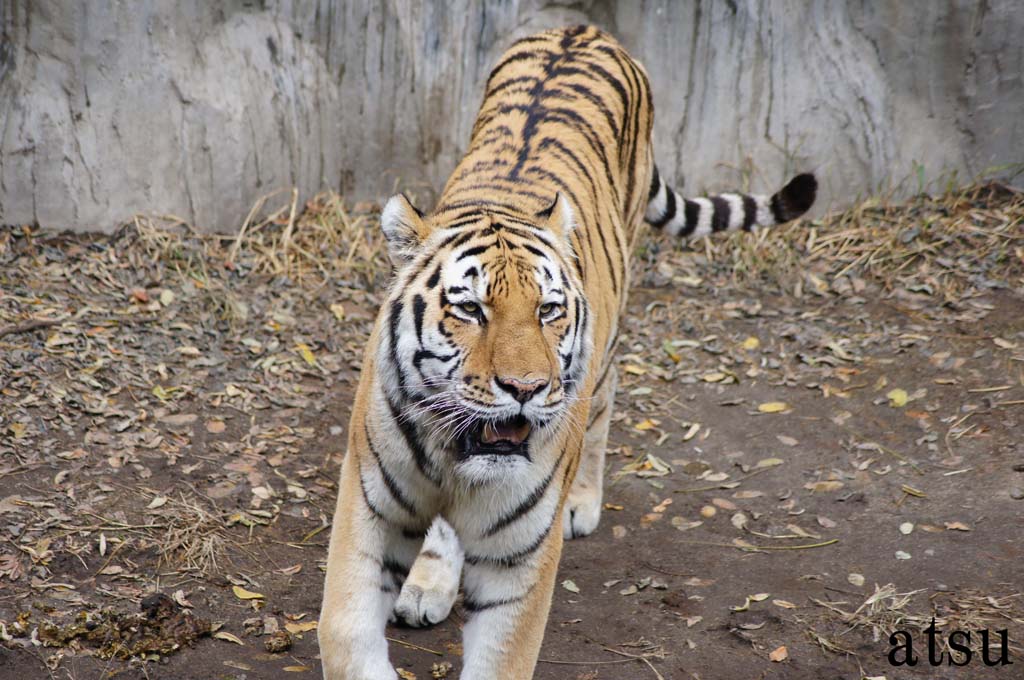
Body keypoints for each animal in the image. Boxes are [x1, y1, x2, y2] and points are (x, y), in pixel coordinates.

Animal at [319, 23, 815, 675]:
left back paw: (581, 501)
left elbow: (503, 656)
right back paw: (428, 585)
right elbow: (346, 632)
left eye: (548, 311)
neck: (456, 462)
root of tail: (585, 28)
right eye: (470, 309)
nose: (525, 390)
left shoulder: (519, 559)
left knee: (605, 400)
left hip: (608, 342)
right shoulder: (370, 513)